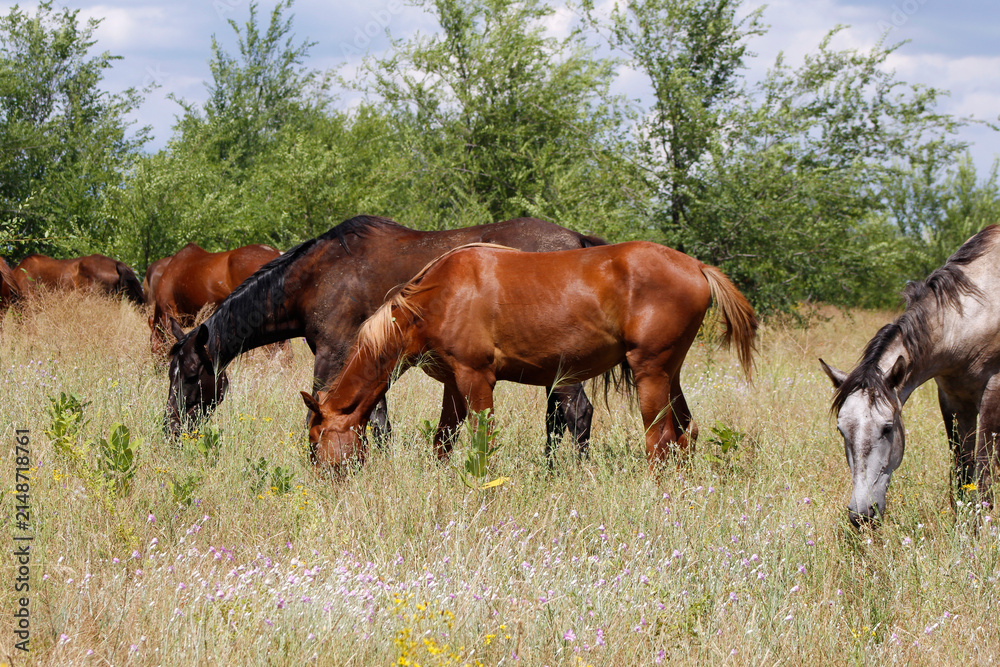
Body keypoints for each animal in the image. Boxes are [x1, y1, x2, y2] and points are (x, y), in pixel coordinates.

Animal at [164, 215, 606, 459]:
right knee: (557, 420)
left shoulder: (332, 356)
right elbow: (377, 423)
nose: (170, 428)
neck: (314, 278)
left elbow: (322, 413)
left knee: (578, 414)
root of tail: (578, 240)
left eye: (191, 374)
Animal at [301, 241, 758, 474]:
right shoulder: (453, 385)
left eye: (315, 439)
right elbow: (444, 441)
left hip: (652, 373)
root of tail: (696, 266)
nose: (323, 481)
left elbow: (482, 439)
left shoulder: (476, 378)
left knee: (660, 440)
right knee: (685, 433)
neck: (437, 296)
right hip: (671, 373)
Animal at [820, 225, 1000, 526]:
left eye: (888, 428)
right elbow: (962, 476)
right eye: (841, 430)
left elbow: (984, 477)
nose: (862, 514)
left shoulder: (992, 396)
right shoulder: (953, 400)